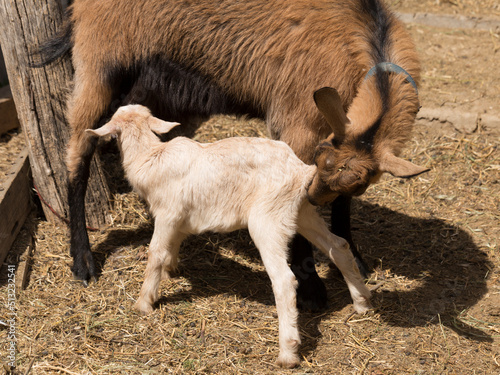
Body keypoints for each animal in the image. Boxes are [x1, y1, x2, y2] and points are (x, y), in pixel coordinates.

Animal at [39, 0, 428, 312]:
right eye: (320, 158)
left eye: (360, 184)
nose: (317, 197)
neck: (367, 31)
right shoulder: (298, 124)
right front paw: (312, 289)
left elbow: (343, 205)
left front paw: (354, 260)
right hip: (100, 60)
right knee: (78, 151)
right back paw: (83, 261)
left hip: (159, 84)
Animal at [86, 104, 372, 368]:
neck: (150, 156)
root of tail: (301, 171)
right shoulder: (178, 219)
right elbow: (172, 246)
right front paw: (171, 270)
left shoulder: (167, 213)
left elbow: (155, 252)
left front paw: (144, 302)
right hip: (301, 212)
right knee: (339, 246)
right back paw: (362, 302)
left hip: (267, 220)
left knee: (284, 280)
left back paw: (288, 352)